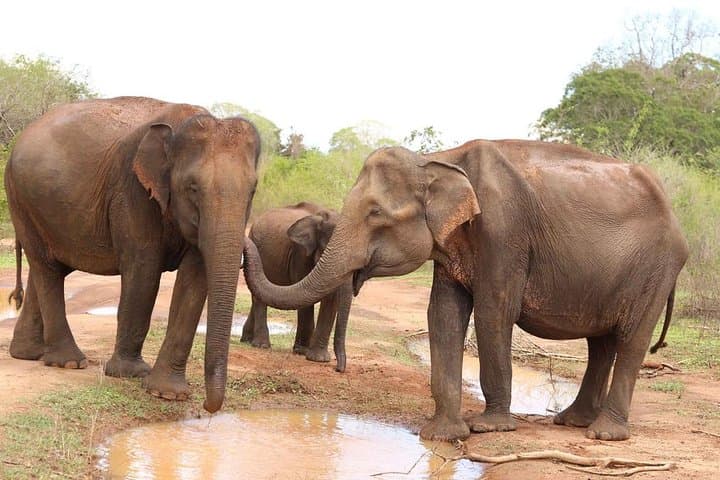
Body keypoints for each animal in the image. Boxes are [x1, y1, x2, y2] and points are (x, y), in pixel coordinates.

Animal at [5, 96, 259, 413]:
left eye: (253, 190)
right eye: (192, 187)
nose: (208, 407)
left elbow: (195, 279)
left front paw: (168, 394)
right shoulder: (132, 190)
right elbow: (143, 270)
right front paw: (129, 374)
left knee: (46, 268)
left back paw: (29, 354)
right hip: (21, 200)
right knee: (47, 267)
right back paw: (69, 362)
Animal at [240, 202, 352, 372]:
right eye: (329, 249)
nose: (338, 369)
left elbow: (331, 300)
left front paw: (319, 359)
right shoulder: (300, 254)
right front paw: (302, 352)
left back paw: (246, 340)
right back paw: (261, 345)